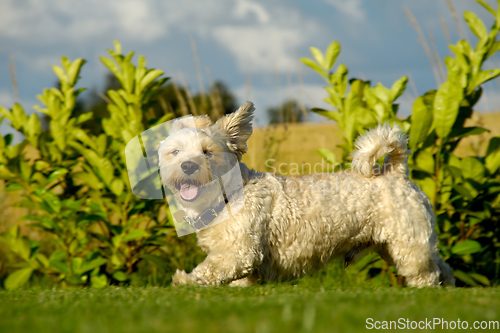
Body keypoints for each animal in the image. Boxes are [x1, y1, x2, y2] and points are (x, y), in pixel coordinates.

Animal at [158, 102, 456, 286]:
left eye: (207, 152)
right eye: (175, 152)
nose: (188, 165)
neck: (228, 197)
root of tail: (397, 170)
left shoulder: (239, 252)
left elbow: (208, 270)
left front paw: (185, 280)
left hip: (408, 244)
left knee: (426, 274)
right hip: (403, 243)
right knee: (443, 268)